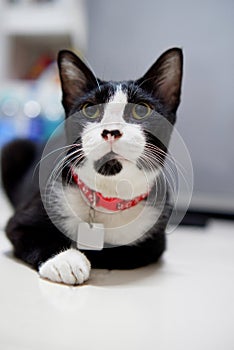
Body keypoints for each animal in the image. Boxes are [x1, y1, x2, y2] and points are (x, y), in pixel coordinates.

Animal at [1, 47, 183, 286]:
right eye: (89, 109)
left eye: (141, 110)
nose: (111, 131)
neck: (107, 196)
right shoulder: (23, 218)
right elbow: (27, 232)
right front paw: (66, 260)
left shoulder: (154, 242)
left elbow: (117, 253)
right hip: (14, 148)